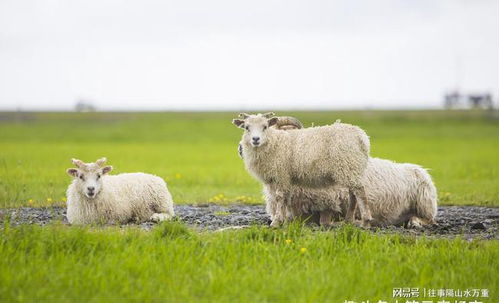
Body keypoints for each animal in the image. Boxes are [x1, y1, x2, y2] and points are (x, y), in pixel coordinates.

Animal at [232, 112, 374, 226]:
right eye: (246, 128)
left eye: (265, 127)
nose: (255, 139)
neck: (274, 142)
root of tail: (362, 137)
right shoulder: (286, 179)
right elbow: (287, 199)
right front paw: (287, 220)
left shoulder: (281, 175)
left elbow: (279, 198)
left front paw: (276, 222)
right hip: (350, 169)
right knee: (353, 195)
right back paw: (349, 220)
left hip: (348, 166)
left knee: (360, 192)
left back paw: (365, 222)